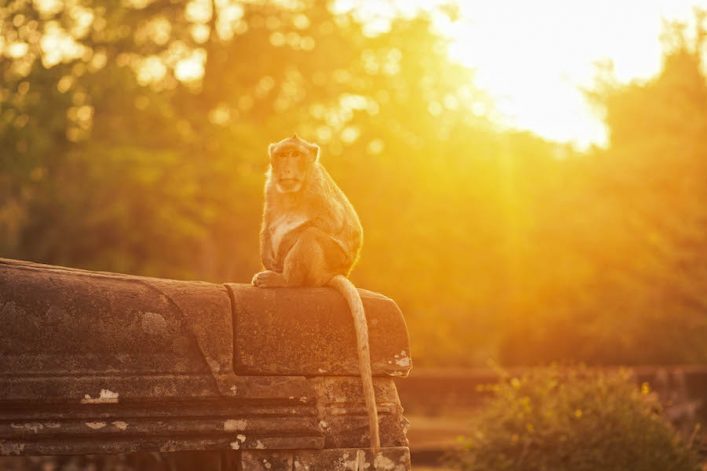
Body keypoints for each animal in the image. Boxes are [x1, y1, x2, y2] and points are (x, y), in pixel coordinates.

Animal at [251, 134, 380, 451]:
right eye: (283, 155)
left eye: (296, 155)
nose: (287, 168)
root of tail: (335, 274)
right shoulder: (271, 187)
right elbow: (268, 223)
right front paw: (268, 255)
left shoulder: (318, 191)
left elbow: (328, 225)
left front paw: (284, 247)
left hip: (328, 261)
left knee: (310, 236)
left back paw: (285, 280)